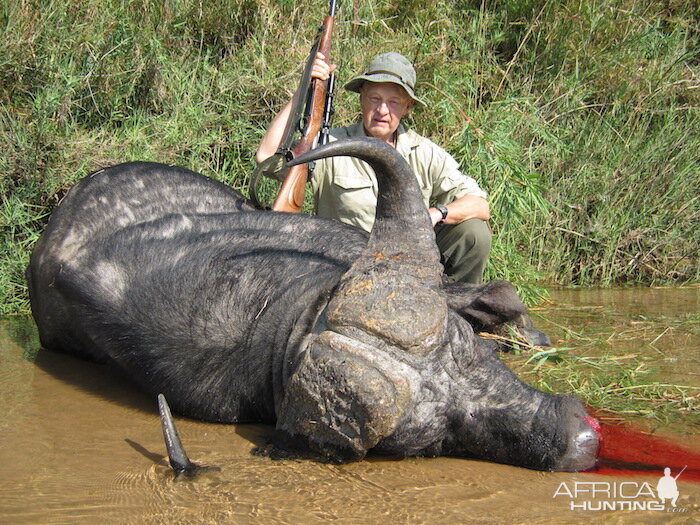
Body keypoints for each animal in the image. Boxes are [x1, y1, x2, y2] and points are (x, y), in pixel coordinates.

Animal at [26, 137, 596, 472]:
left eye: (465, 351)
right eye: (433, 438)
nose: (580, 439)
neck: (271, 318)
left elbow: (501, 293)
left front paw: (523, 337)